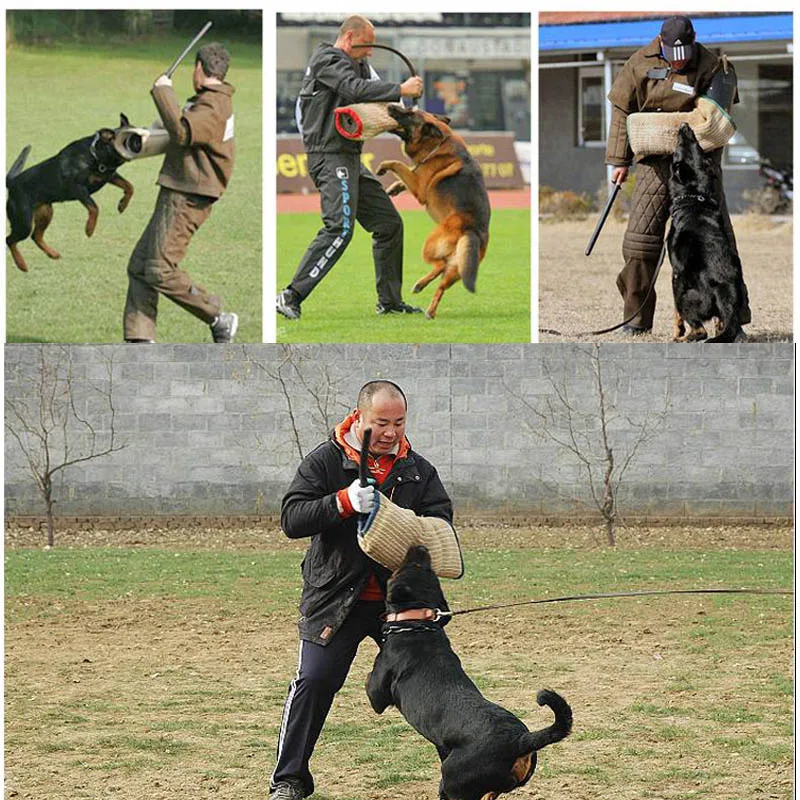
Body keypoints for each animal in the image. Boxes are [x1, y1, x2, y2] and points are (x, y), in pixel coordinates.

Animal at [5, 113, 134, 272]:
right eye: (132, 139)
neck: (96, 155)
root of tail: (12, 182)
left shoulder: (110, 176)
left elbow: (130, 187)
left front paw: (122, 205)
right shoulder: (77, 187)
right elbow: (94, 207)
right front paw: (89, 229)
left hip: (45, 212)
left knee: (36, 236)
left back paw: (53, 254)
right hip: (24, 221)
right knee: (10, 239)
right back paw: (21, 264)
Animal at [366, 544, 572, 800]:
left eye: (411, 565)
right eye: (428, 569)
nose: (421, 547)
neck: (417, 623)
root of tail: (520, 741)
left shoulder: (377, 696)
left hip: (452, 777)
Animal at [376, 104, 494, 320]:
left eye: (410, 113)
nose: (390, 105)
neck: (438, 143)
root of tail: (472, 231)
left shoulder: (419, 186)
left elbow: (400, 165)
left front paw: (384, 166)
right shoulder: (417, 177)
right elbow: (408, 171)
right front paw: (395, 187)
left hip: (430, 245)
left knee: (440, 265)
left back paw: (426, 302)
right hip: (458, 269)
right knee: (442, 280)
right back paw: (426, 298)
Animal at [664, 123, 748, 342]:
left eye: (677, 152)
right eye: (699, 147)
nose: (685, 125)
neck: (695, 197)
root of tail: (725, 291)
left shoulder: (676, 274)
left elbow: (676, 312)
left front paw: (677, 330)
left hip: (685, 296)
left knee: (699, 329)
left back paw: (684, 338)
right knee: (728, 326)